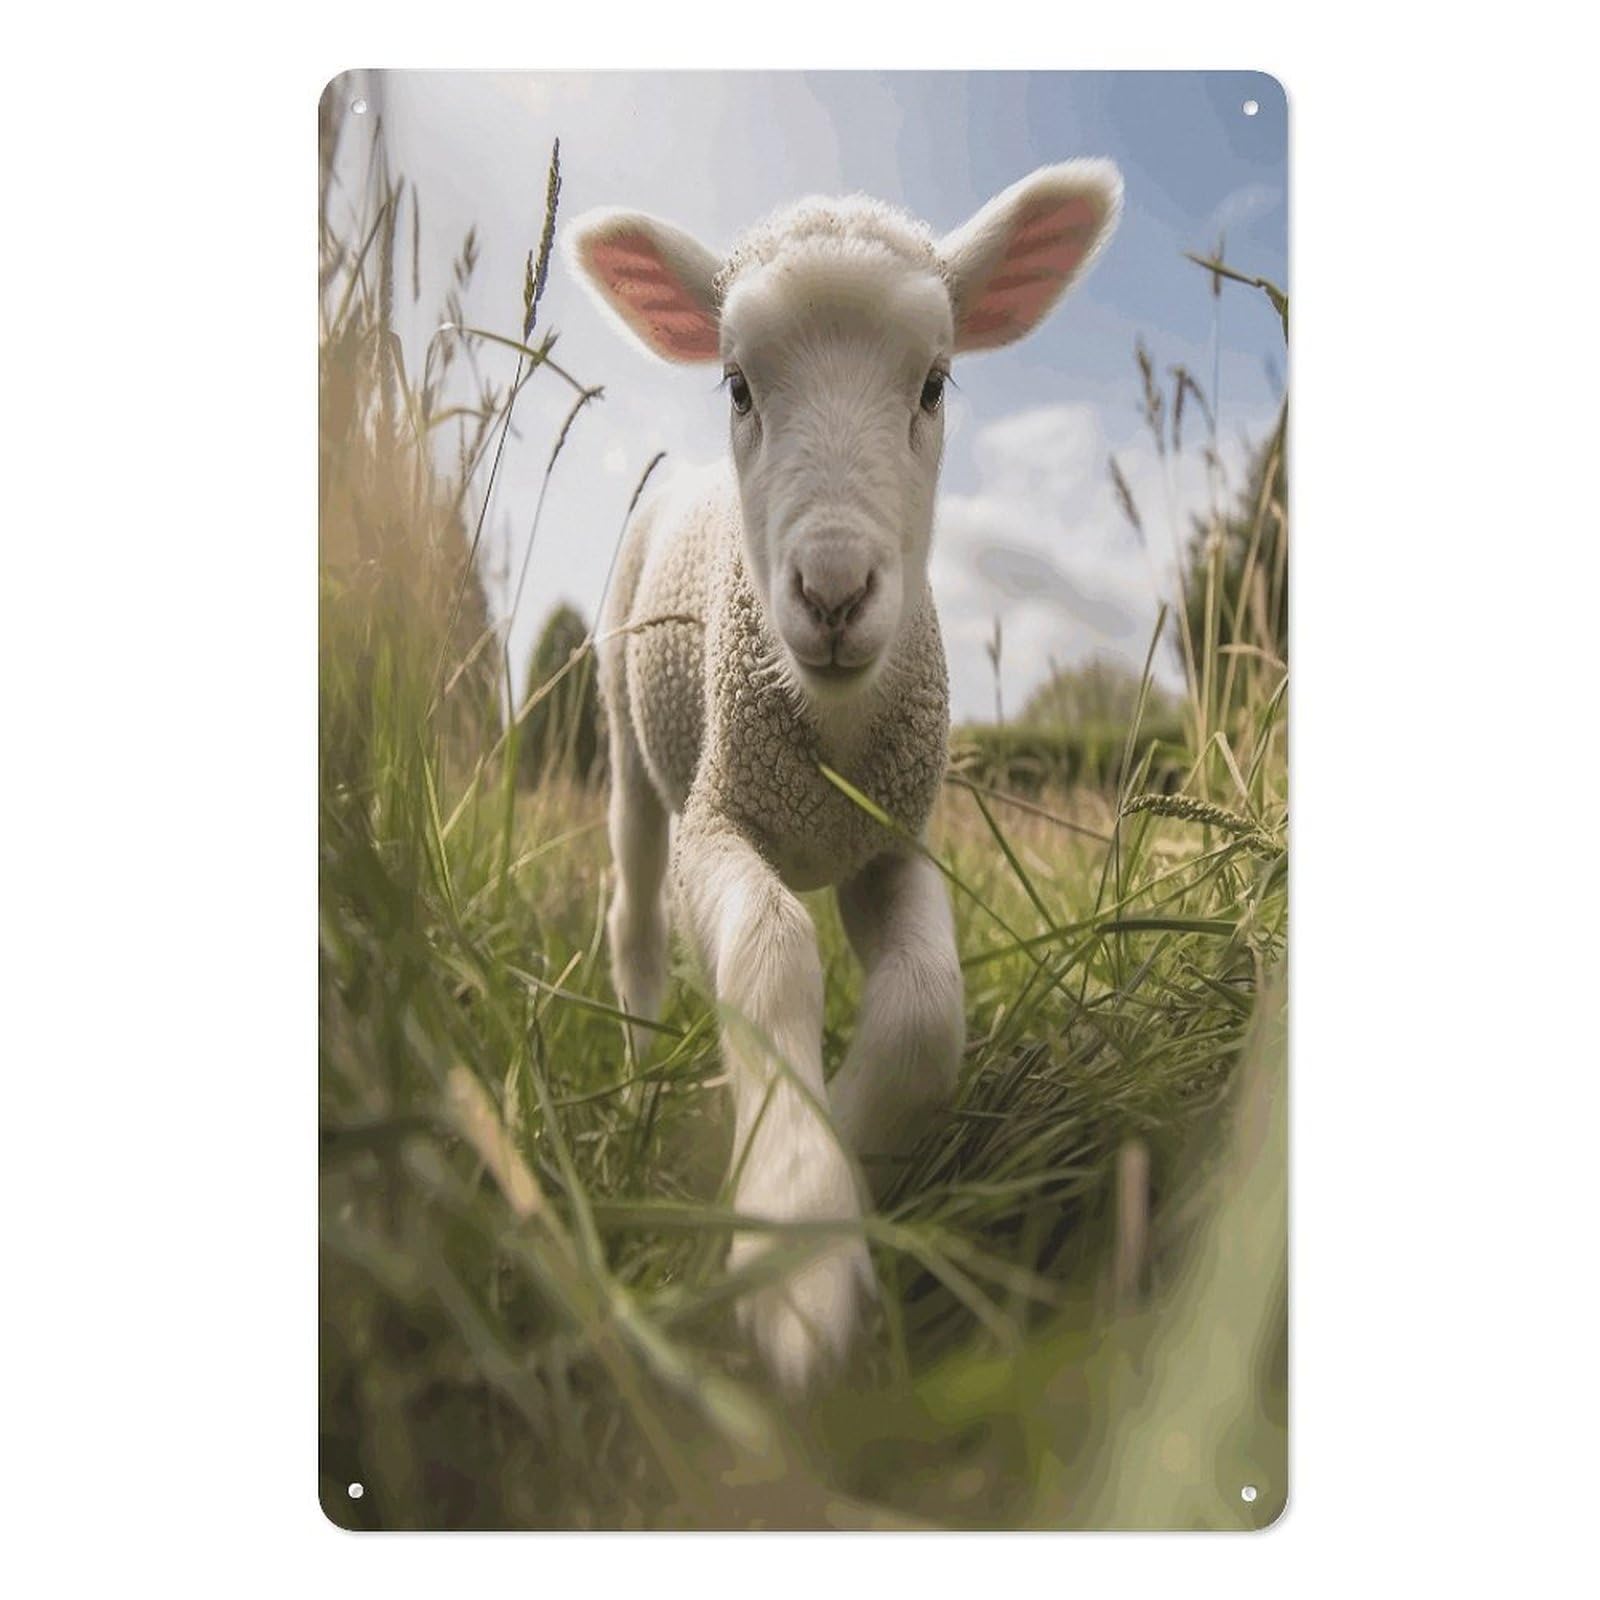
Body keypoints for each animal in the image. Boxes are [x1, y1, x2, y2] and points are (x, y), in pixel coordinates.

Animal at [567, 161, 1123, 1390]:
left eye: (934, 383)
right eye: (737, 386)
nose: (831, 591)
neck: (826, 737)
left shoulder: (892, 840)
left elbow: (924, 1011)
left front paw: (855, 1143)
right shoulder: (720, 818)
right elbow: (771, 950)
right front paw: (796, 1232)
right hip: (631, 740)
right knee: (635, 916)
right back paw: (637, 1085)